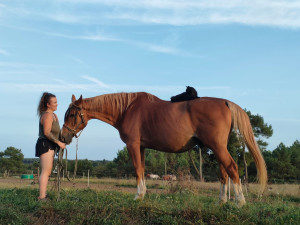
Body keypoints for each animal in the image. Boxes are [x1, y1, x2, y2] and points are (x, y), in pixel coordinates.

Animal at [61, 92, 268, 207]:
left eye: (72, 114)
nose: (63, 137)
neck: (127, 109)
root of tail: (225, 102)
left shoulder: (133, 145)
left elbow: (137, 170)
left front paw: (138, 196)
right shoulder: (142, 147)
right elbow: (142, 170)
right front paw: (143, 194)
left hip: (217, 147)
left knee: (232, 168)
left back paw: (240, 201)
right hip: (217, 148)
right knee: (224, 172)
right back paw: (221, 201)